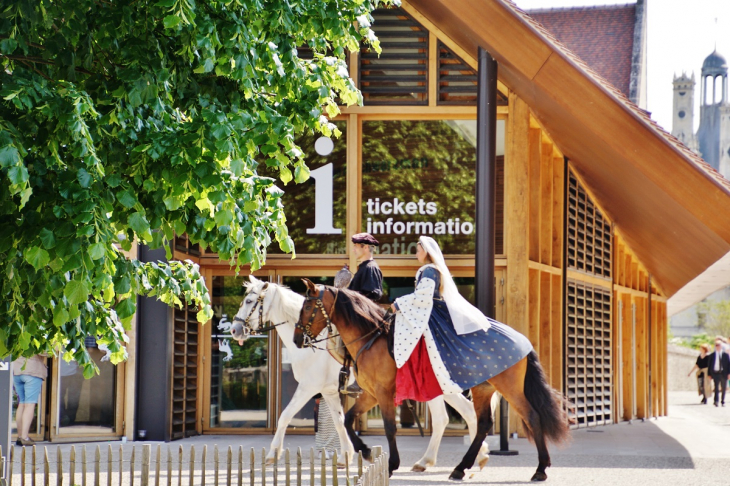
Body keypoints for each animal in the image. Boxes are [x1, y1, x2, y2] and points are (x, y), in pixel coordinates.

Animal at [229, 278, 490, 470]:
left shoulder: (308, 388)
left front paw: (272, 454)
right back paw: (472, 456)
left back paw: (441, 460)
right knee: (463, 412)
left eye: (249, 300)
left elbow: (284, 416)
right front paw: (348, 455)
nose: (235, 329)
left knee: (449, 416)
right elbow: (339, 421)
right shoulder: (329, 392)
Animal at [292, 280, 568, 480]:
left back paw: (540, 469)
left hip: (509, 388)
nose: (296, 339)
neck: (372, 338)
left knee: (531, 417)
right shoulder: (370, 394)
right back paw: (461, 467)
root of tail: (522, 340)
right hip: (483, 389)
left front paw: (391, 464)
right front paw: (368, 452)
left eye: (307, 307)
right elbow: (348, 420)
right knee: (483, 423)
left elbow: (389, 427)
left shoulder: (383, 393)